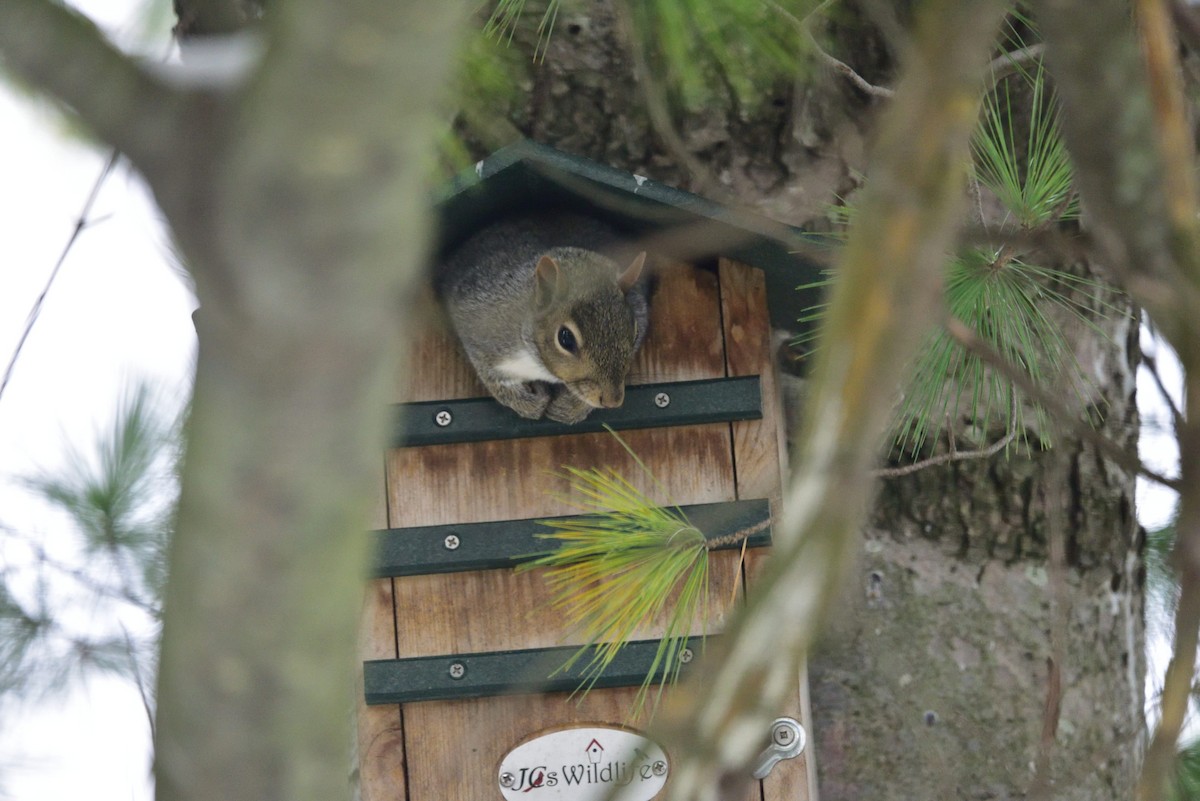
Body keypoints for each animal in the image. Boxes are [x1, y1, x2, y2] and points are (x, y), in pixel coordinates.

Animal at [434, 213, 651, 424]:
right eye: (565, 338)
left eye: (635, 333)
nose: (612, 401)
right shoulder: (479, 328)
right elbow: (492, 377)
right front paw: (528, 403)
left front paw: (572, 408)